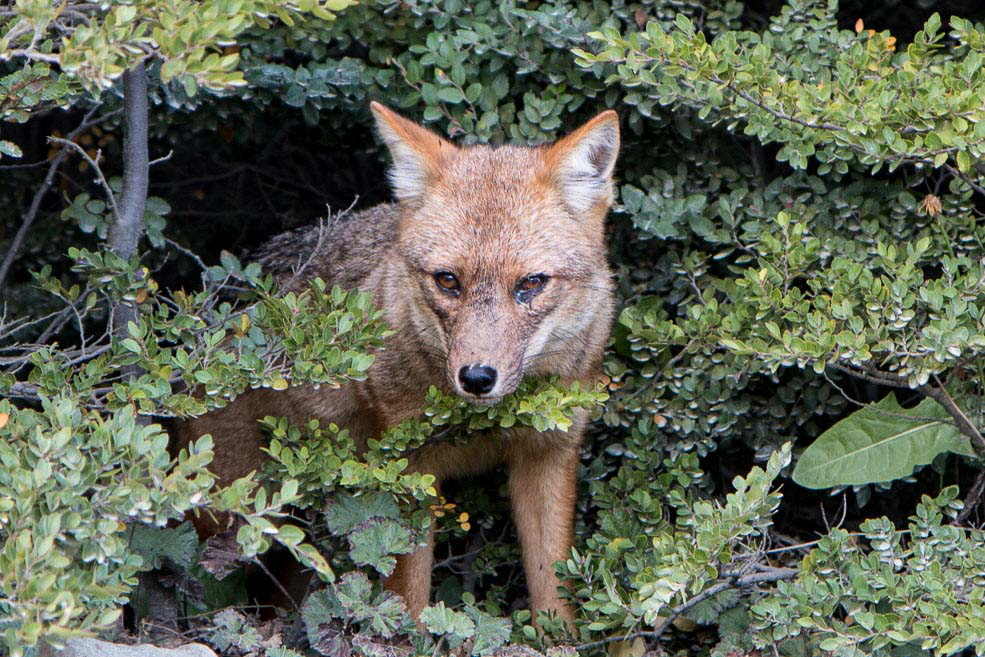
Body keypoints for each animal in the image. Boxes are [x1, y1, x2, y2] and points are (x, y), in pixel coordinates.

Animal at [177, 100, 616, 624]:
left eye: (531, 284)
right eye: (447, 281)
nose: (477, 378)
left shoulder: (548, 456)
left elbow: (554, 593)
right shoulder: (408, 466)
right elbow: (407, 596)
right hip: (227, 516)